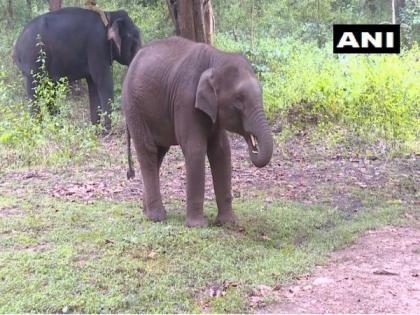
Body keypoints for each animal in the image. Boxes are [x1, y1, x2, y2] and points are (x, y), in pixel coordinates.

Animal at [13, 7, 142, 131]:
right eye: (133, 38)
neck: (108, 15)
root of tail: (16, 46)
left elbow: (93, 86)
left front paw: (96, 129)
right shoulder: (97, 47)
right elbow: (103, 81)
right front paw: (107, 131)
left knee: (49, 90)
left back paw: (58, 128)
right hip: (32, 60)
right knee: (34, 92)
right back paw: (39, 129)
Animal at [123, 37, 274, 228]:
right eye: (238, 100)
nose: (253, 146)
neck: (216, 57)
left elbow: (222, 152)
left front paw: (229, 222)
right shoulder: (185, 100)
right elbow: (195, 149)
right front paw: (197, 226)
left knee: (158, 154)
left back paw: (147, 212)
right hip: (134, 108)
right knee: (147, 150)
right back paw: (156, 217)